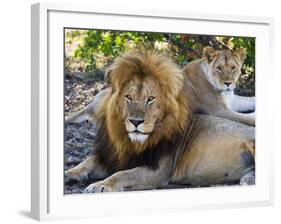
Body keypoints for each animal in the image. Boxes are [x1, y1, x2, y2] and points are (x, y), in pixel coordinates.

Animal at [65, 50, 254, 192]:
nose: (135, 121)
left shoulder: (158, 171)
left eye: (151, 99)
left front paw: (101, 185)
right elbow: (90, 160)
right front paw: (72, 172)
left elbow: (123, 174)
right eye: (128, 97)